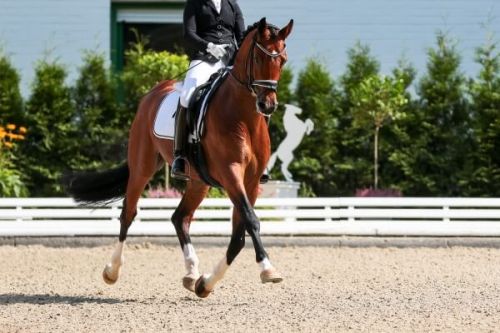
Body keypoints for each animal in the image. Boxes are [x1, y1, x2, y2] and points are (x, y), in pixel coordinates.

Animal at [65, 17, 294, 298]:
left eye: (282, 60)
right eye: (259, 58)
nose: (267, 105)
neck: (243, 117)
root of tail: (154, 92)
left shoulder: (250, 182)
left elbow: (239, 234)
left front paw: (205, 283)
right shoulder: (231, 173)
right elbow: (251, 221)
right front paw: (268, 269)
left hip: (199, 181)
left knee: (180, 217)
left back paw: (192, 273)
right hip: (142, 167)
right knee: (128, 213)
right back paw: (112, 271)